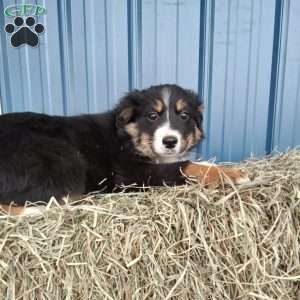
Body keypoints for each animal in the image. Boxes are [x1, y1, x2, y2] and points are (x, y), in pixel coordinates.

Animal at [0, 84, 243, 216]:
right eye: (152, 116)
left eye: (184, 116)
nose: (170, 141)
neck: (129, 137)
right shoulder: (132, 174)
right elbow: (186, 167)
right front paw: (233, 174)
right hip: (63, 158)